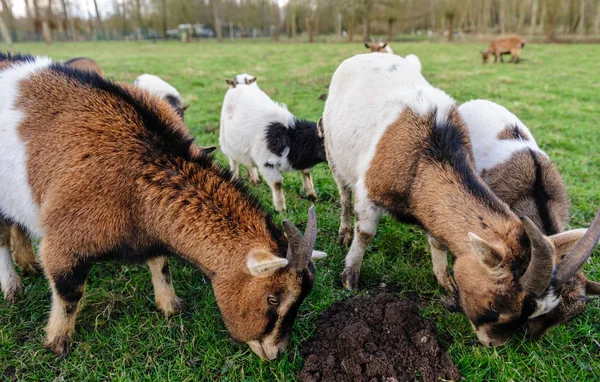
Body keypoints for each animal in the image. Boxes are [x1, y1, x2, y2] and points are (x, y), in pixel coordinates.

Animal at [218, 73, 326, 213]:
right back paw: (234, 178)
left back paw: (254, 178)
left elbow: (306, 172)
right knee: (234, 161)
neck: (289, 137)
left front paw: (311, 195)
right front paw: (281, 209)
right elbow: (277, 184)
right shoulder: (267, 164)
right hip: (227, 142)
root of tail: (240, 85)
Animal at [324, 52, 600, 348]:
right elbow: (365, 233)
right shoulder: (369, 194)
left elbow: (437, 239)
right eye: (496, 304)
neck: (428, 155)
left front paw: (444, 279)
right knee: (343, 193)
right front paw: (350, 277)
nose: (493, 344)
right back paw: (343, 232)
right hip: (332, 151)